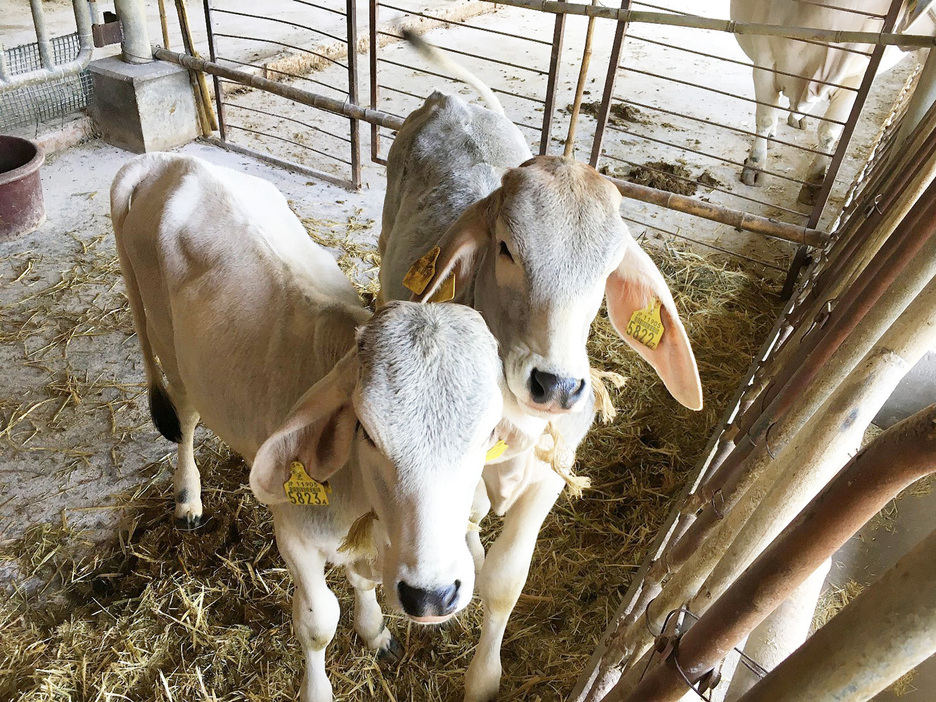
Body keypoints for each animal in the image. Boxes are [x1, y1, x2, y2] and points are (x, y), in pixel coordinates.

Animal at [112, 155, 508, 702]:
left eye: (488, 433)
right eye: (367, 431)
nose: (431, 595)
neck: (360, 499)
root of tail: (167, 162)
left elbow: (363, 583)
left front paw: (375, 630)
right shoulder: (295, 537)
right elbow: (319, 623)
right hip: (169, 346)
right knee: (187, 418)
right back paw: (188, 497)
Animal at [378, 31, 704, 702]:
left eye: (607, 268)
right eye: (505, 247)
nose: (556, 385)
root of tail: (450, 99)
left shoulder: (553, 475)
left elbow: (506, 576)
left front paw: (483, 677)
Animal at [736, 0, 932, 204]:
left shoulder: (855, 81)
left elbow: (829, 133)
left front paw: (814, 182)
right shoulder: (764, 63)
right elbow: (765, 119)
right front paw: (755, 166)